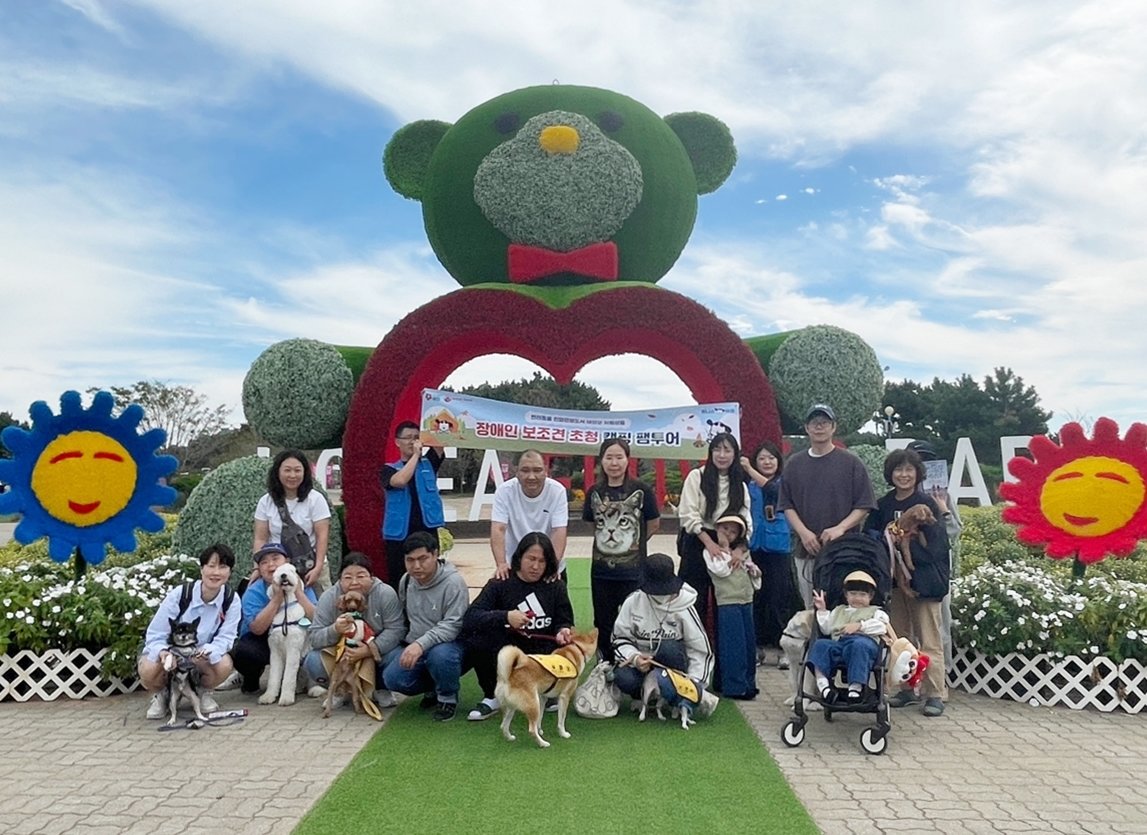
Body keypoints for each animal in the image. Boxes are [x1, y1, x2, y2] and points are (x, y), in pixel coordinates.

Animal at [323, 591, 371, 720]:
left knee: (355, 699)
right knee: (329, 698)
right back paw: (327, 712)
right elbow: (348, 620)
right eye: (348, 600)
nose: (353, 608)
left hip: (354, 686)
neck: (355, 615)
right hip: (333, 682)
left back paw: (359, 710)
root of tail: (343, 679)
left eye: (357, 600)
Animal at [495, 623, 601, 752]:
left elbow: (540, 718)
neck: (577, 648)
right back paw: (543, 743)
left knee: (503, 725)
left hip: (514, 706)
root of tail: (508, 676)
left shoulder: (543, 697)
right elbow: (561, 720)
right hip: (533, 704)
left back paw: (510, 737)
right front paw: (563, 734)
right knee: (531, 730)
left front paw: (540, 730)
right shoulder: (564, 697)